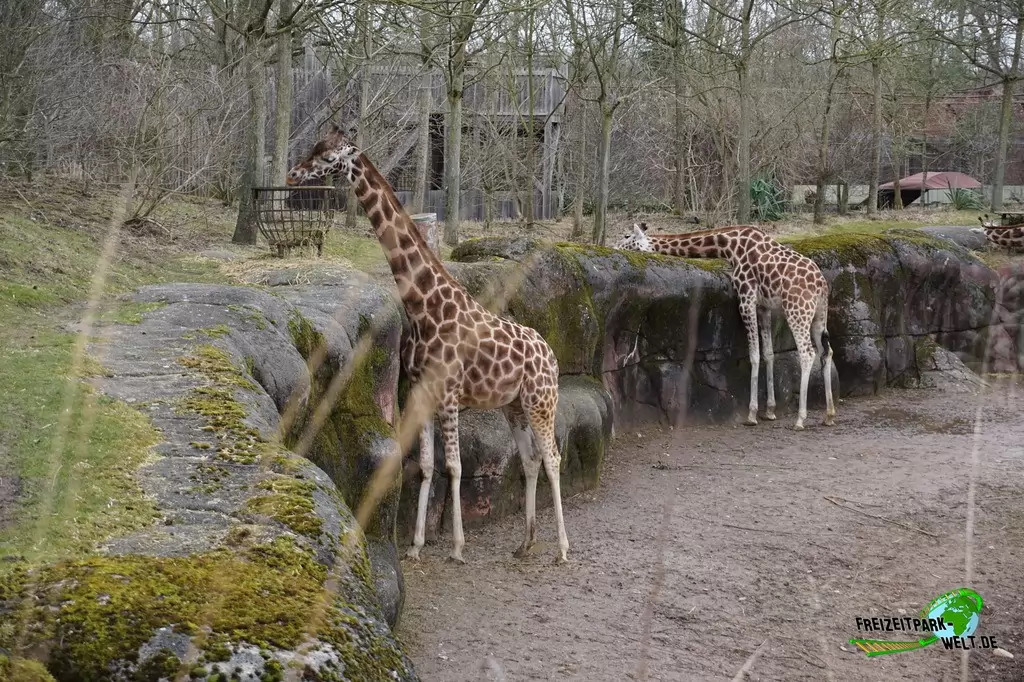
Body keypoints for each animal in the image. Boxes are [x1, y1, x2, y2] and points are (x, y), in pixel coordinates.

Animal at [286, 124, 569, 564]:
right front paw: (417, 545)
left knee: (553, 457)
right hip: (514, 405)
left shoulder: (449, 394)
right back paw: (526, 542)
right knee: (531, 459)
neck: (425, 308)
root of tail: (551, 355)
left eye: (329, 156)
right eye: (315, 147)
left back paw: (562, 549)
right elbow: (425, 466)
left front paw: (456, 546)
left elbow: (454, 467)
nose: (293, 174)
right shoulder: (421, 391)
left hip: (542, 400)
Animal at [615, 222, 836, 431]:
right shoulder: (763, 306)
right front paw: (770, 411)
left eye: (626, 236)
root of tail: (821, 284)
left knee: (807, 353)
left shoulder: (746, 298)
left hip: (797, 311)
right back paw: (829, 415)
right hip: (818, 316)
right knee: (826, 351)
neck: (730, 247)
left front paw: (751, 415)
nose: (614, 246)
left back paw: (800, 419)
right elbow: (768, 354)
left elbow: (754, 355)